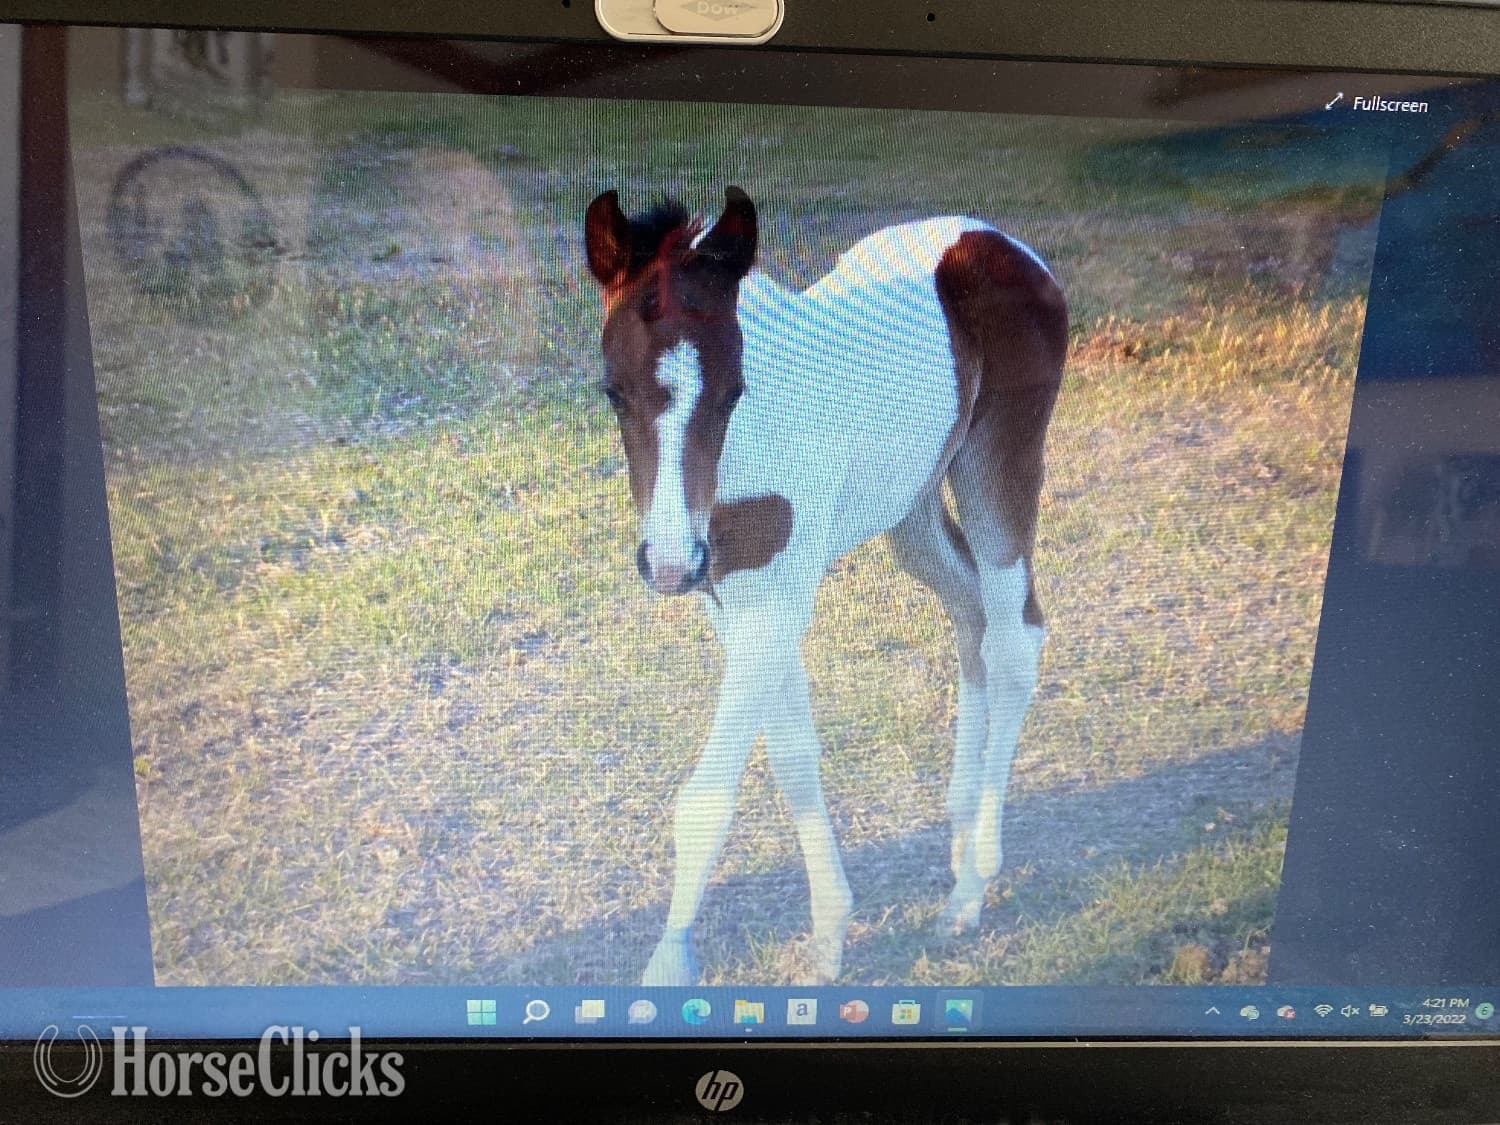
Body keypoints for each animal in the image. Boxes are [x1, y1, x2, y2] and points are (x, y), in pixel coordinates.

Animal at [584, 186, 1067, 986]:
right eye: (613, 393)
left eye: (734, 393)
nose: (670, 565)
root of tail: (1000, 241)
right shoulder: (735, 602)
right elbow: (791, 755)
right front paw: (830, 933)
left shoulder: (776, 602)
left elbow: (708, 797)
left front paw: (668, 964)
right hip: (911, 506)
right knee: (970, 617)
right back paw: (960, 834)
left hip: (998, 460)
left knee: (1012, 638)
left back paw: (971, 886)